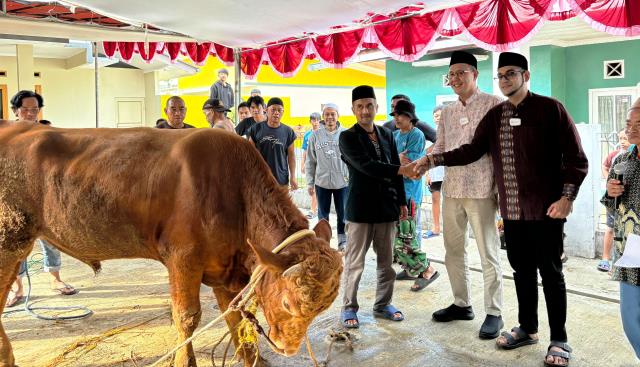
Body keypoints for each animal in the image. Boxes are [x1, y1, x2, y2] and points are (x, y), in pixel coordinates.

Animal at [0, 121, 344, 367]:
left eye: (322, 307)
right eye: (287, 304)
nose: (288, 348)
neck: (236, 195)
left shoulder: (226, 269)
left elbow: (234, 316)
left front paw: (252, 360)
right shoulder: (183, 258)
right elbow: (187, 317)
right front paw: (184, 361)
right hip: (10, 239)